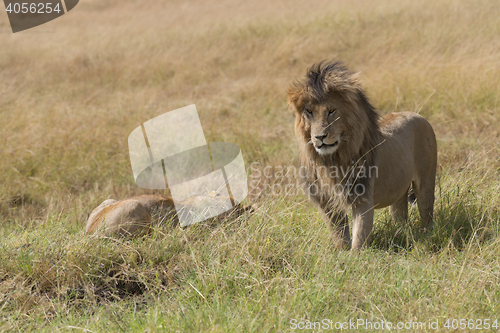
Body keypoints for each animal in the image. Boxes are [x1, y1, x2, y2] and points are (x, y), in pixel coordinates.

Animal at [288, 61, 436, 249]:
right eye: (309, 112)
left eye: (331, 111)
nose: (320, 137)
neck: (331, 161)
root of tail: (417, 114)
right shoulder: (326, 202)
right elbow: (339, 235)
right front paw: (342, 253)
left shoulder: (362, 199)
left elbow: (359, 237)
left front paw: (356, 255)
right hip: (399, 190)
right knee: (400, 215)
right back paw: (403, 234)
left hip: (425, 183)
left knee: (427, 214)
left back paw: (427, 237)